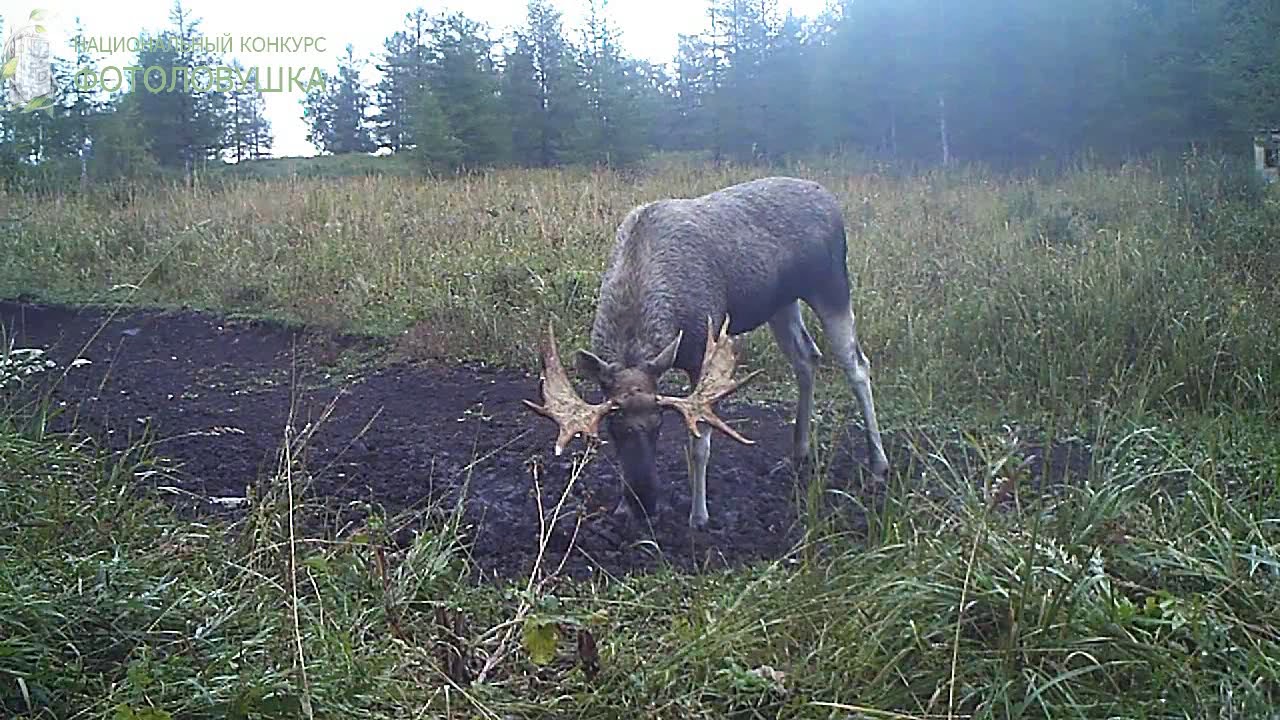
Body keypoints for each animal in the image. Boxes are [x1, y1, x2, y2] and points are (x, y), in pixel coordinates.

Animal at [519, 174, 890, 527]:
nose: (644, 502)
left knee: (857, 364)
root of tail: (831, 200)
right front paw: (623, 506)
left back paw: (879, 463)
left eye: (658, 425)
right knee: (807, 357)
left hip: (831, 285)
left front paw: (699, 515)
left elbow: (700, 443)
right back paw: (800, 451)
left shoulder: (702, 354)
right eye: (614, 427)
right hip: (781, 303)